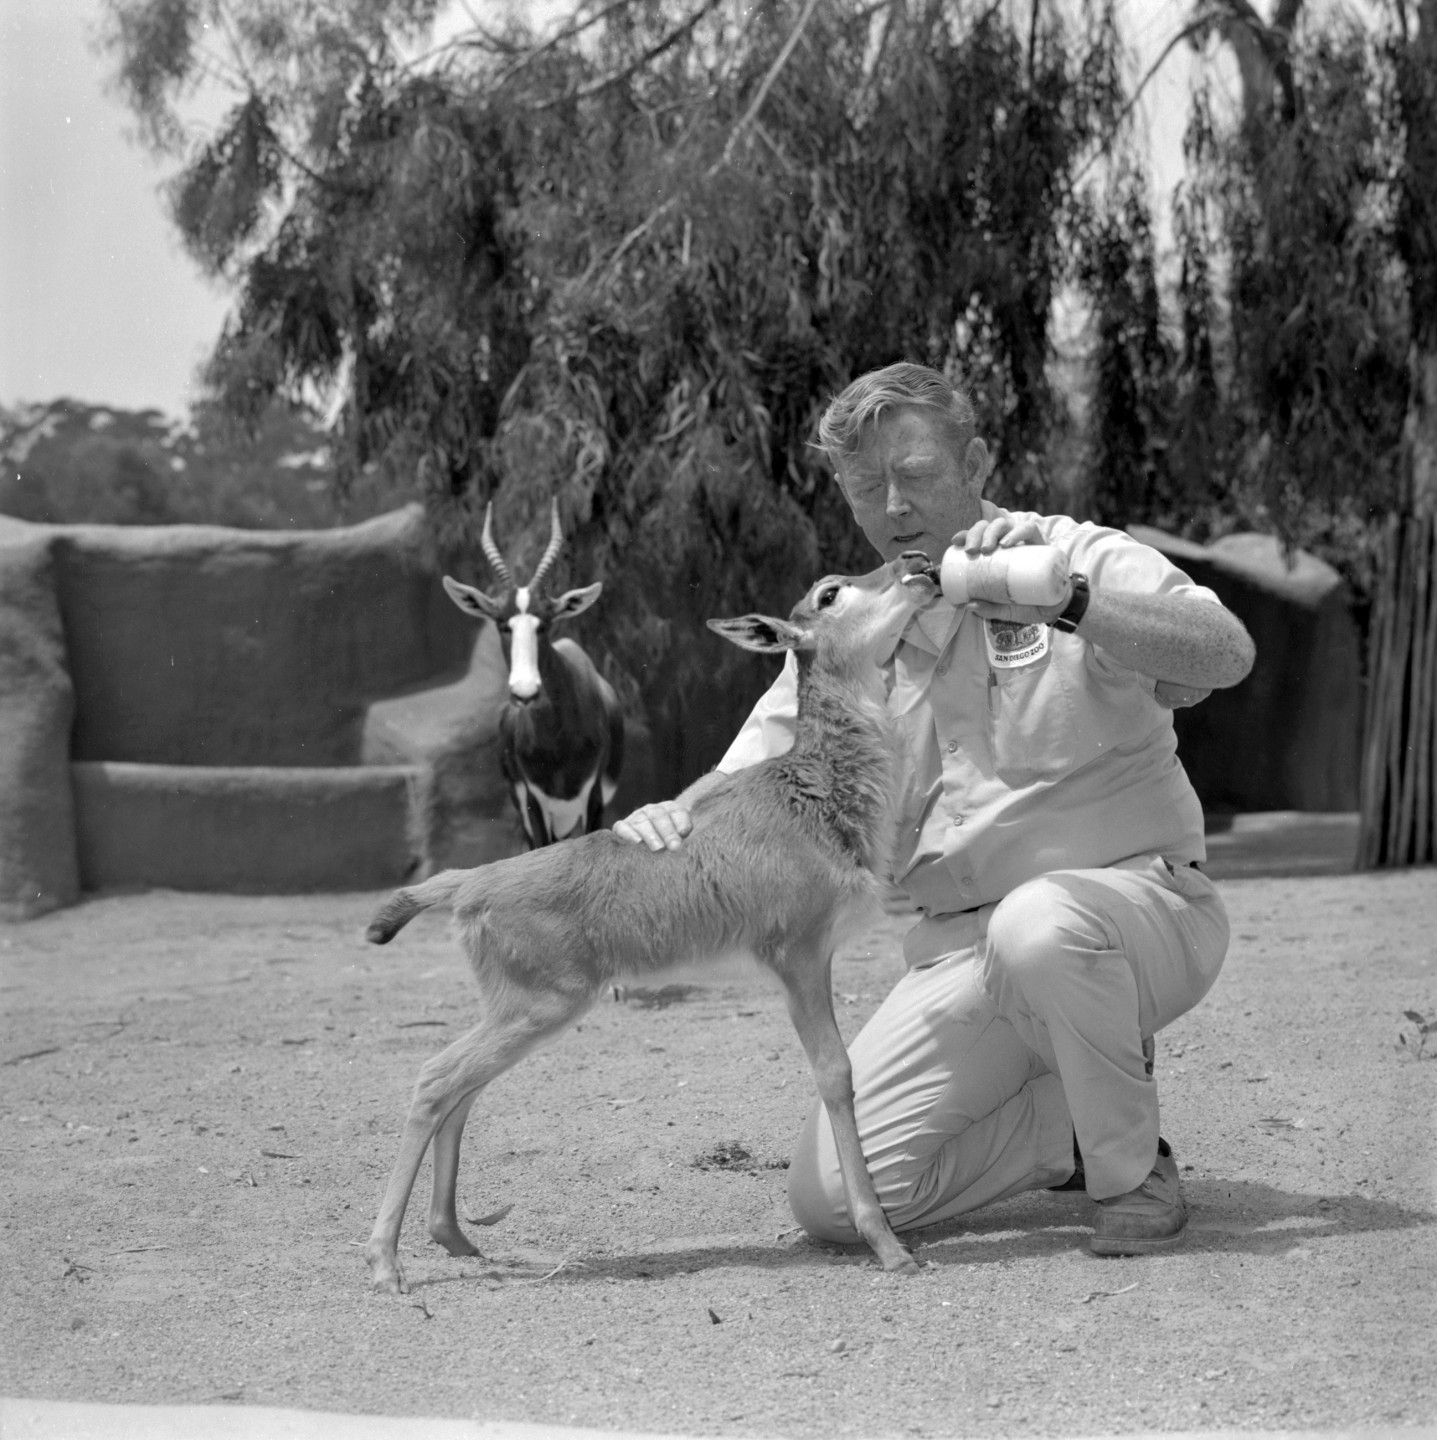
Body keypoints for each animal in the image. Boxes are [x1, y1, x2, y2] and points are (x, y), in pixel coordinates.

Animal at [365, 555, 938, 1290]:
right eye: (829, 592)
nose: (916, 564)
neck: (813, 793)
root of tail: (468, 884)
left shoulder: (817, 958)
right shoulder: (799, 954)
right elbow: (836, 1073)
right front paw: (888, 1245)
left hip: (519, 1011)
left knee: (459, 1090)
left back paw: (456, 1239)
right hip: (541, 1006)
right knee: (436, 1079)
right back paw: (385, 1262)